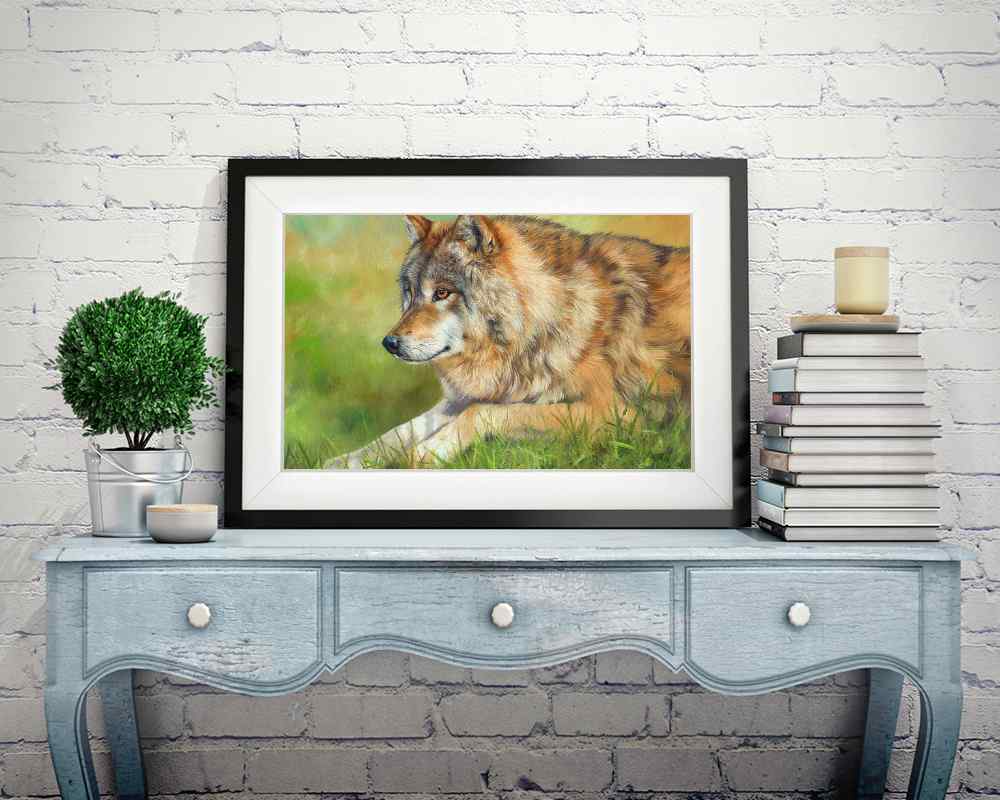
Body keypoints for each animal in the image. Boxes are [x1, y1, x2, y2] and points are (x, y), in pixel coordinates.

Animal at [330, 214, 690, 468]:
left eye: (442, 293)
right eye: (410, 293)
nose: (389, 343)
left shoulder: (619, 415)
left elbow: (482, 413)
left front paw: (427, 453)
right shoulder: (466, 397)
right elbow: (398, 432)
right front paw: (344, 463)